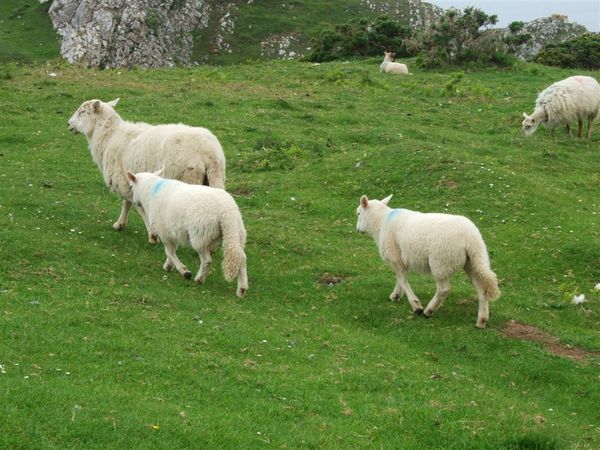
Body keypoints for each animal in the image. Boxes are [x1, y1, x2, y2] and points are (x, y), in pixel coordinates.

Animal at [65, 96, 225, 241]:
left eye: (82, 112)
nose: (68, 124)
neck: (109, 136)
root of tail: (208, 153)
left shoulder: (124, 180)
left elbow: (136, 206)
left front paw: (152, 234)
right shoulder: (129, 180)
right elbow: (127, 203)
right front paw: (120, 224)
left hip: (189, 178)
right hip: (214, 178)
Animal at [126, 170, 248, 298]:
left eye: (130, 187)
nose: (135, 202)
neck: (150, 191)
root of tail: (226, 213)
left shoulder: (165, 232)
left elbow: (169, 252)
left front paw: (184, 271)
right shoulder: (173, 233)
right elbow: (171, 252)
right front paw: (168, 266)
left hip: (200, 235)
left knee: (207, 260)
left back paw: (199, 279)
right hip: (237, 233)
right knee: (241, 258)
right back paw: (241, 289)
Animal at [356, 195, 502, 328]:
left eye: (358, 213)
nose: (357, 229)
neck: (381, 221)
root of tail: (472, 238)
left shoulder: (394, 256)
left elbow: (402, 279)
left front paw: (416, 306)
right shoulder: (400, 259)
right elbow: (400, 278)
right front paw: (396, 295)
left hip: (440, 261)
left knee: (443, 289)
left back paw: (429, 311)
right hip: (473, 261)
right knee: (481, 288)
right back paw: (482, 320)